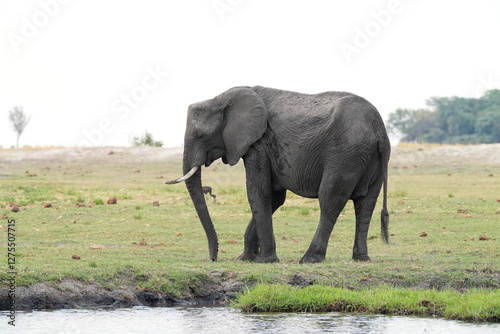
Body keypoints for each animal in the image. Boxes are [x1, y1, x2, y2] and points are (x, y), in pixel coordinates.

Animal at [168, 86, 390, 264]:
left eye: (201, 136)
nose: (213, 258)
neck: (220, 100)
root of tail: (379, 129)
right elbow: (274, 198)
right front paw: (245, 259)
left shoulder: (258, 144)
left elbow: (258, 192)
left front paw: (264, 261)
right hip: (371, 159)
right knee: (365, 204)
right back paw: (361, 259)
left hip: (345, 156)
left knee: (330, 201)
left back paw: (309, 260)